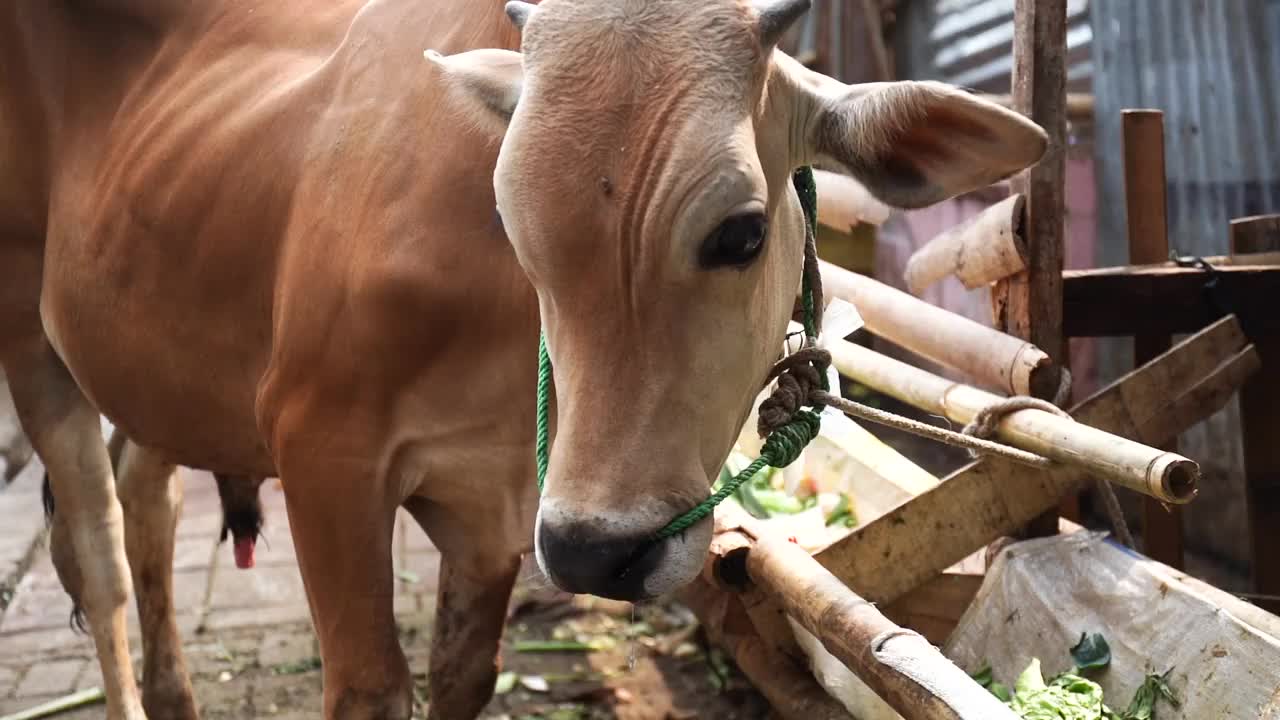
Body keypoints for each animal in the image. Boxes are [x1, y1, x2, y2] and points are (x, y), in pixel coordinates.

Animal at [0, 1, 1044, 717]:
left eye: (743, 233)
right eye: (511, 220)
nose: (595, 550)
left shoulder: (489, 502)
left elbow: (464, 671)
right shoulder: (321, 452)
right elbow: (370, 686)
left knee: (148, 504)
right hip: (27, 332)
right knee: (95, 552)